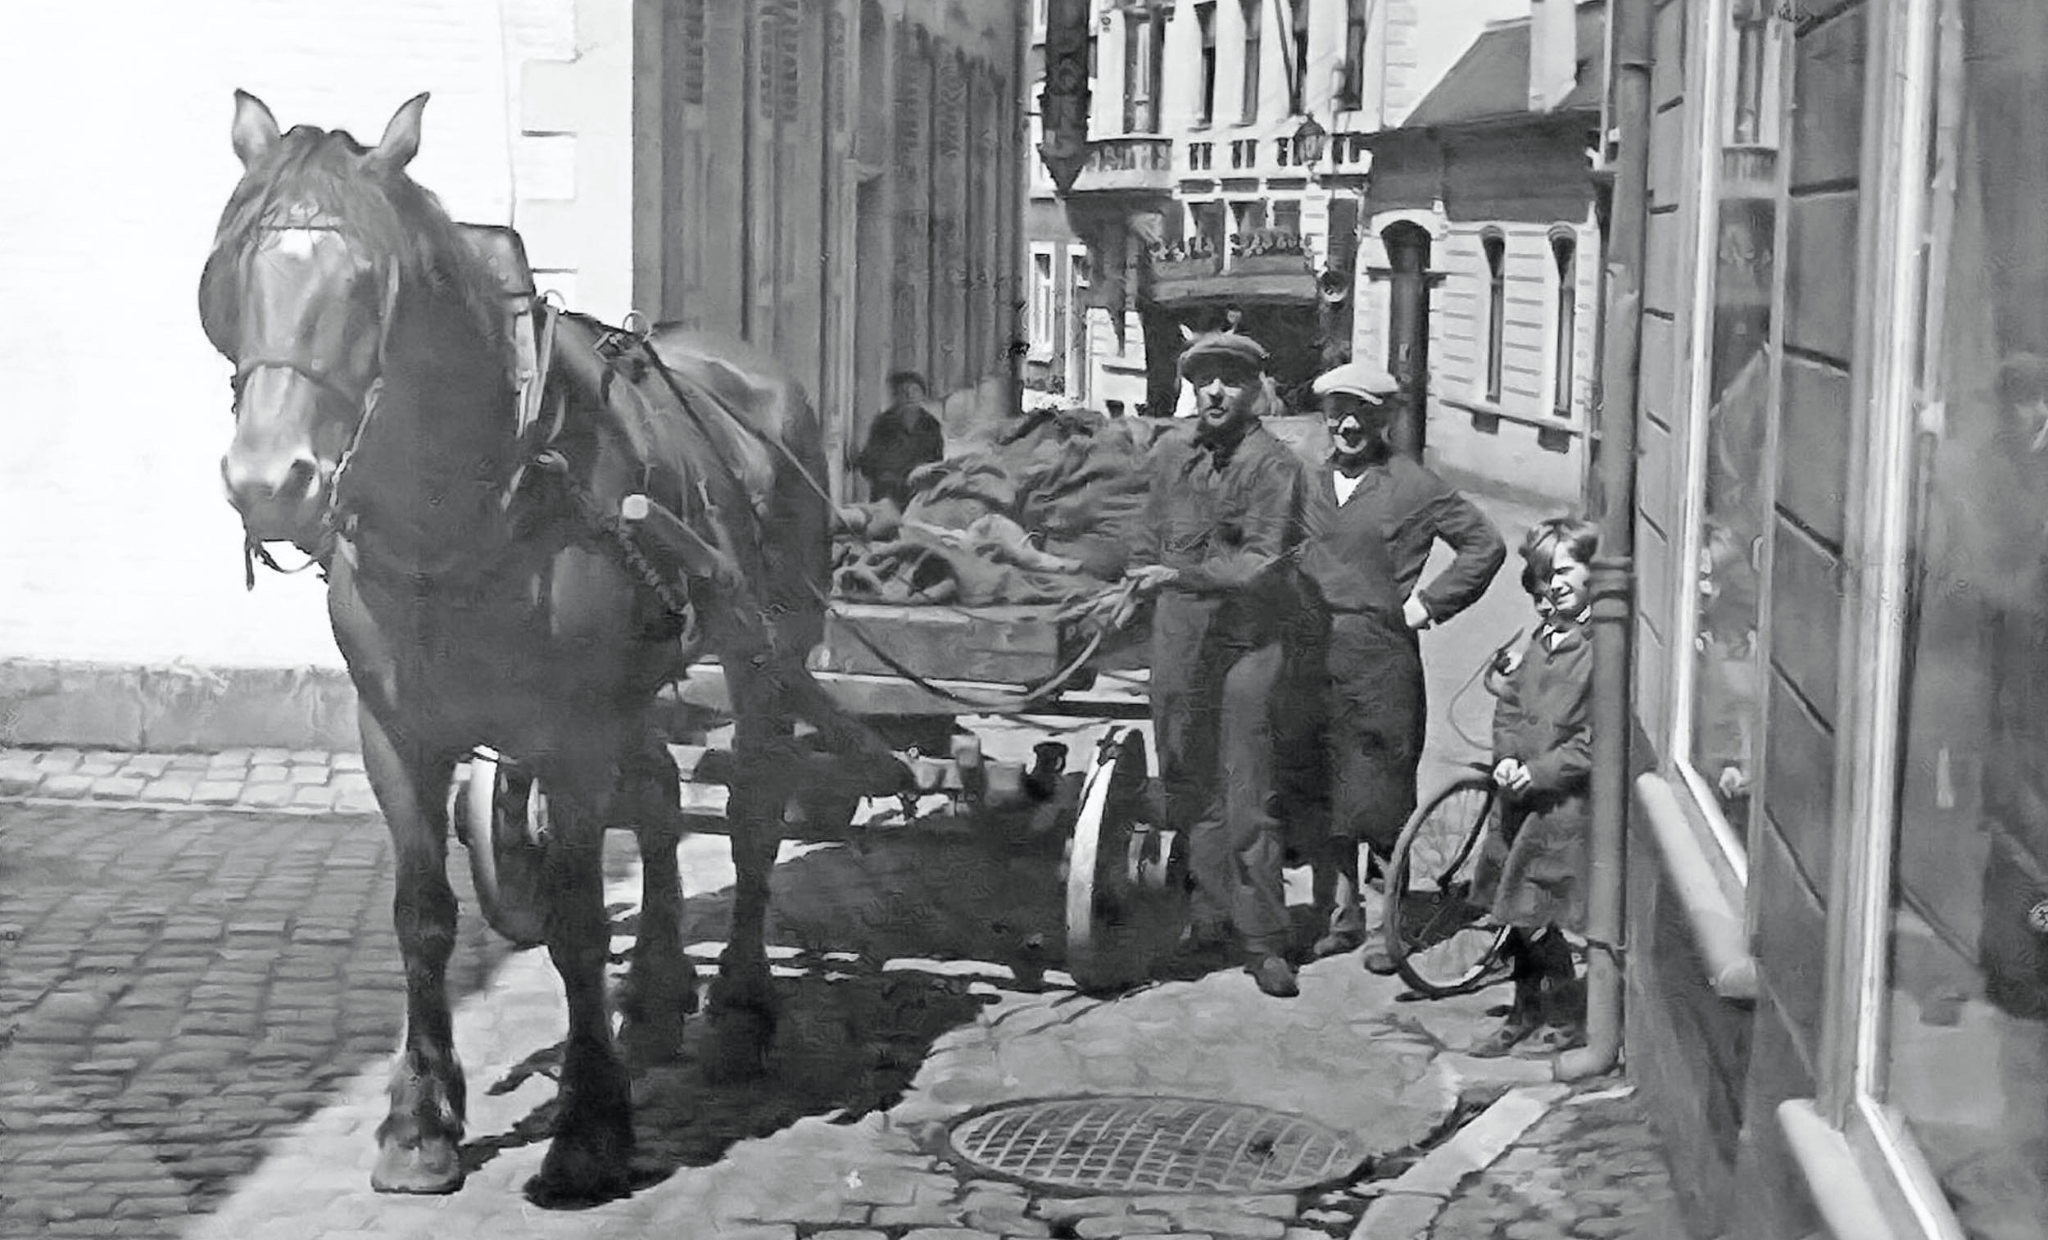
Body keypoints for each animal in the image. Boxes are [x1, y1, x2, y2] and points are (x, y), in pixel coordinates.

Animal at [199, 91, 897, 1205]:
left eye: (370, 283)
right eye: (229, 274)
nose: (271, 481)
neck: (466, 503)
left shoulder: (569, 735)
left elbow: (573, 917)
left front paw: (589, 1129)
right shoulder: (394, 731)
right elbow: (423, 913)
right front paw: (419, 1122)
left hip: (764, 650)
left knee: (751, 812)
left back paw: (737, 1012)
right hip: (644, 680)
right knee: (659, 798)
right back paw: (654, 995)